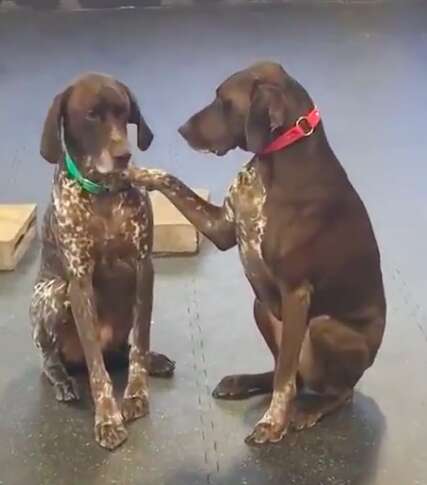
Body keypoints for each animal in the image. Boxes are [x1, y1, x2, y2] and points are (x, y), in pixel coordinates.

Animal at [30, 73, 176, 450]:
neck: (103, 195)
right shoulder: (79, 282)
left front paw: (136, 394)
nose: (124, 155)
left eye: (124, 113)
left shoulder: (143, 268)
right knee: (53, 360)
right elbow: (98, 371)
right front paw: (107, 418)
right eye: (91, 115)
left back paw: (153, 361)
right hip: (53, 295)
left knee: (125, 350)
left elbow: (140, 343)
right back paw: (63, 381)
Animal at [128, 62, 388, 444]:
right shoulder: (221, 227)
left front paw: (272, 423)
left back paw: (309, 410)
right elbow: (173, 182)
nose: (182, 129)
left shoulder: (296, 294)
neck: (274, 162)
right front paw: (136, 172)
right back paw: (243, 382)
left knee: (334, 391)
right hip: (261, 306)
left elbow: (284, 382)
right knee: (292, 372)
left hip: (322, 327)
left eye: (223, 101)